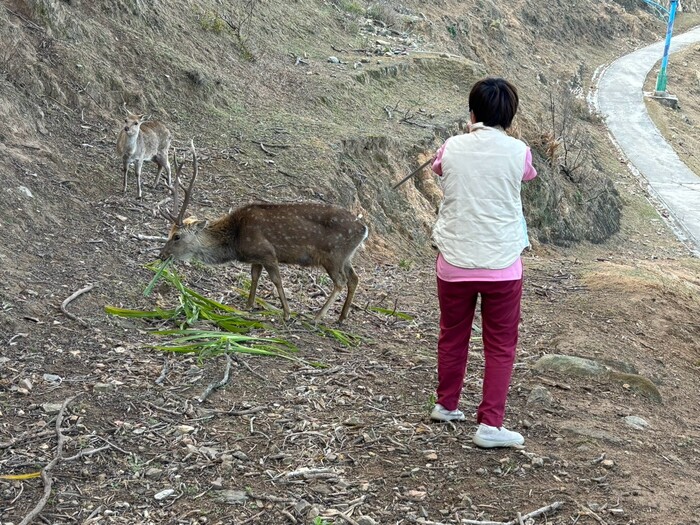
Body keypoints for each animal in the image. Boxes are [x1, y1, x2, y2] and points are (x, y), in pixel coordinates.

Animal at [158, 143, 368, 323]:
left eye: (177, 237)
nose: (162, 255)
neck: (235, 239)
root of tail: (364, 229)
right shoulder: (256, 258)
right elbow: (254, 277)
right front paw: (249, 305)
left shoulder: (267, 252)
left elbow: (276, 280)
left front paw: (287, 313)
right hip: (346, 257)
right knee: (354, 279)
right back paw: (341, 317)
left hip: (333, 255)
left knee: (340, 282)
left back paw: (317, 317)